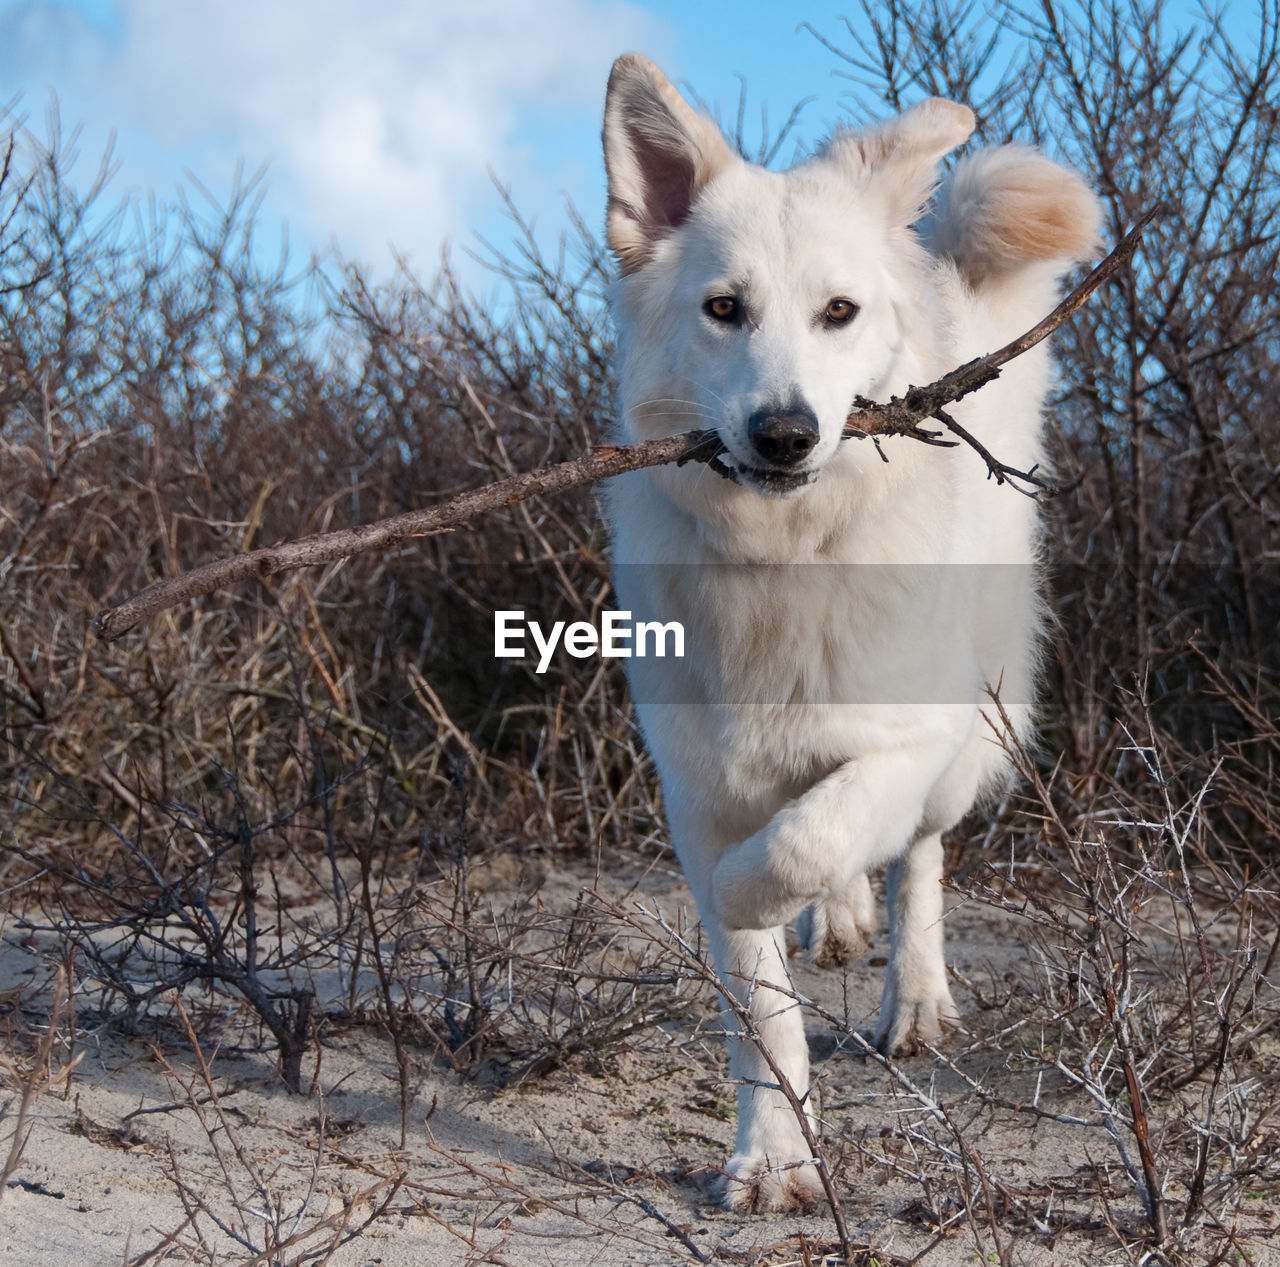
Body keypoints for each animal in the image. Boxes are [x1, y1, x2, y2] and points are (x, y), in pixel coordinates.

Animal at [601, 54, 1100, 1213]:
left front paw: (761, 892)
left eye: (838, 311)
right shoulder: (697, 781)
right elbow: (761, 1004)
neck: (786, 558)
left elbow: (797, 846)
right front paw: (775, 1158)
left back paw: (910, 996)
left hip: (967, 735)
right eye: (723, 309)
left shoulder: (905, 743)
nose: (783, 433)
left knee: (917, 855)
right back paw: (835, 923)